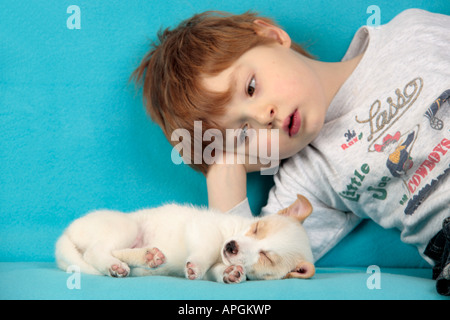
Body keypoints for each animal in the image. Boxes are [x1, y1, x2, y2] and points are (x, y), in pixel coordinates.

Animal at [56, 195, 314, 282]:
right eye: (258, 228)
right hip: (126, 227)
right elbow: (206, 251)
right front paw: (196, 266)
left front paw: (231, 273)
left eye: (266, 258)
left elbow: (217, 271)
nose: (231, 246)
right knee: (95, 252)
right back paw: (116, 265)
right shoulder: (204, 228)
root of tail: (65, 233)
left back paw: (147, 257)